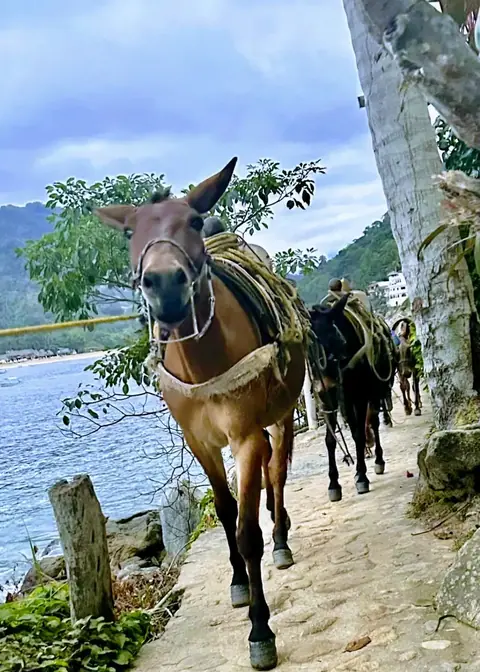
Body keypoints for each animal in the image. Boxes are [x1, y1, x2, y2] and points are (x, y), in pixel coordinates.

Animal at [94, 158, 309, 671]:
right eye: (129, 231)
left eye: (192, 221)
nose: (163, 283)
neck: (204, 360)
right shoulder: (200, 441)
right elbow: (226, 510)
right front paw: (237, 583)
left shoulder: (245, 435)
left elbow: (248, 530)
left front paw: (260, 630)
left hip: (283, 410)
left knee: (277, 471)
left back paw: (282, 538)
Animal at [309, 292, 397, 502]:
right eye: (310, 344)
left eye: (336, 338)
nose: (326, 386)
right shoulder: (328, 401)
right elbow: (330, 440)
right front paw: (334, 484)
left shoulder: (359, 397)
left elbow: (358, 433)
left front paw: (362, 476)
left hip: (374, 393)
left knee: (373, 423)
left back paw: (378, 460)